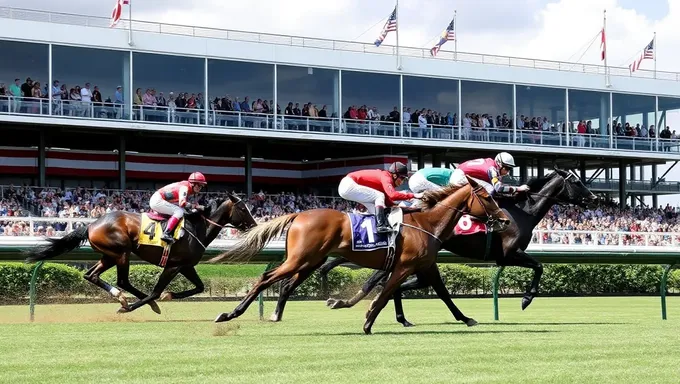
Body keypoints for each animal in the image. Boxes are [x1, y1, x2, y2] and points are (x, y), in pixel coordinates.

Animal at [25, 194, 256, 314]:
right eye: (243, 209)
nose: (254, 225)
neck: (195, 228)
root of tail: (91, 225)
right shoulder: (173, 265)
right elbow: (155, 291)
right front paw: (156, 299)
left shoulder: (186, 265)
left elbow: (199, 287)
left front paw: (168, 295)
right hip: (122, 252)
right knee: (122, 281)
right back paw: (127, 302)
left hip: (109, 255)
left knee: (91, 275)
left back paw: (121, 298)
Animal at [210, 176, 508, 334]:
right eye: (488, 198)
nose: (504, 220)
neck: (426, 223)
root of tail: (298, 215)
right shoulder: (403, 266)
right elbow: (385, 294)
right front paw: (367, 321)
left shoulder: (425, 266)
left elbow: (442, 293)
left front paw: (466, 318)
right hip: (299, 259)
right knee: (266, 278)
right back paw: (230, 314)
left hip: (309, 261)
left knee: (283, 283)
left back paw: (268, 313)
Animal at [268, 167, 596, 324]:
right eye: (577, 181)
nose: (595, 199)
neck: (521, 212)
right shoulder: (508, 255)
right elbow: (539, 266)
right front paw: (526, 299)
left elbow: (410, 285)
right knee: (378, 280)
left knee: (384, 280)